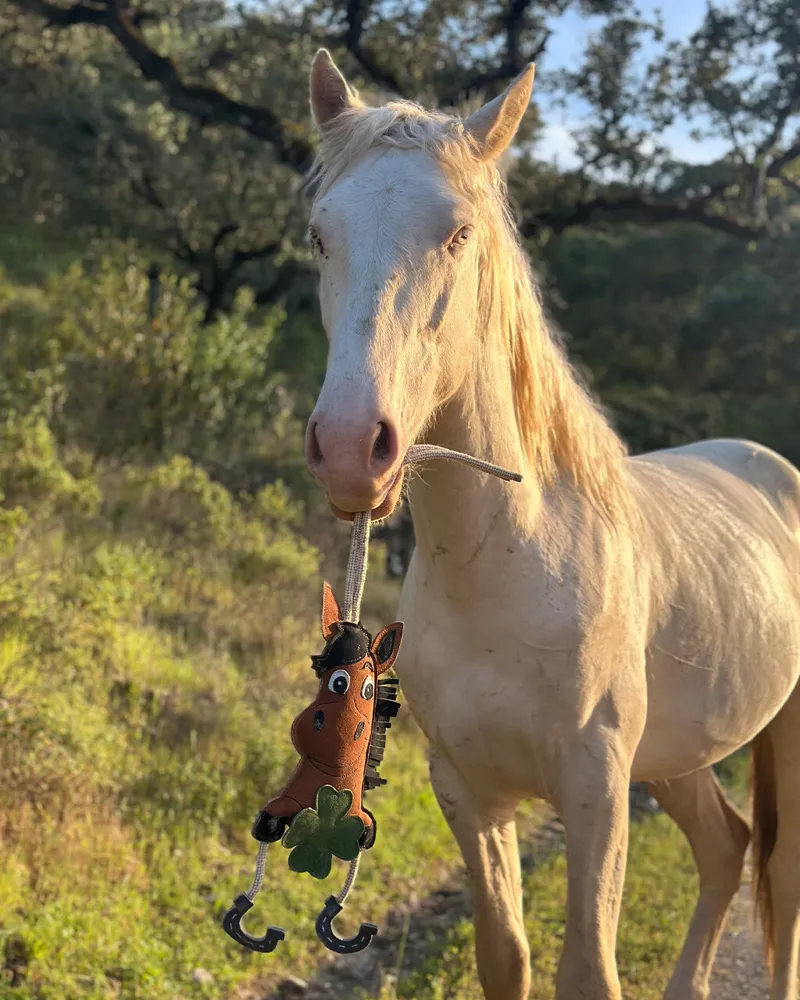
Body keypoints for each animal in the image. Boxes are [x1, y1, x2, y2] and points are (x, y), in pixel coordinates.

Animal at [301, 48, 800, 1000]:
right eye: (319, 234)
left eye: (458, 234)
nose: (351, 449)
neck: (511, 564)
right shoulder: (468, 793)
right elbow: (507, 956)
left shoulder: (596, 791)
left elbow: (588, 969)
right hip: (678, 757)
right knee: (727, 849)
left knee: (781, 880)